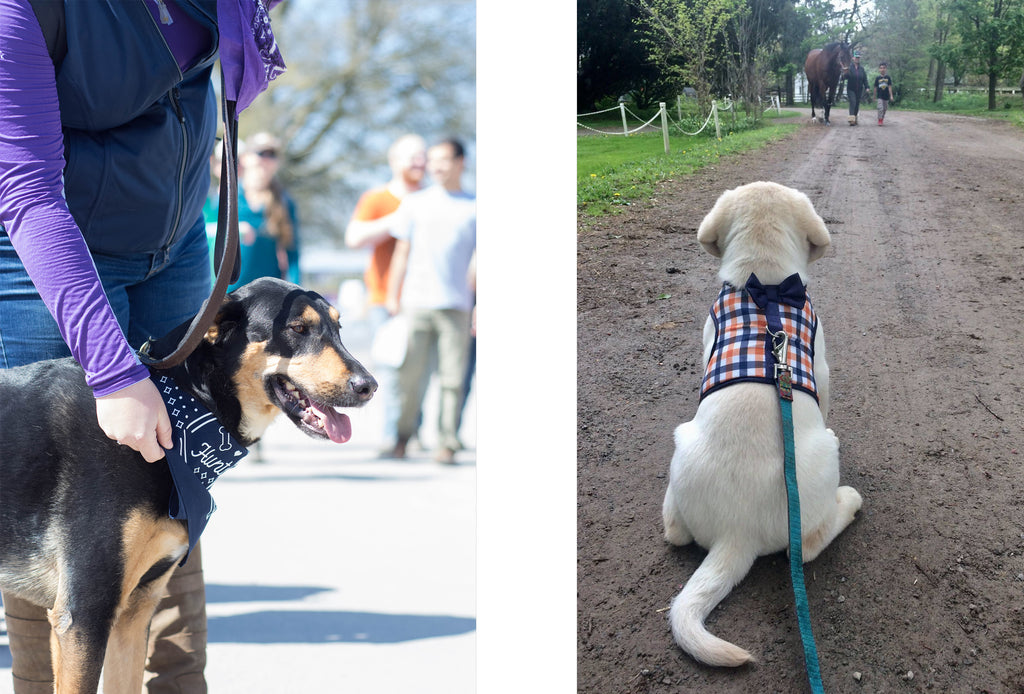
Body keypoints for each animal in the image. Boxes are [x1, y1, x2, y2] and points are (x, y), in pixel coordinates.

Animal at [0, 278, 376, 694]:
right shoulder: (84, 614)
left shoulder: (135, 611)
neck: (176, 412)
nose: (369, 386)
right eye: (298, 328)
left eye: (339, 328)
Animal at [663, 183, 864, 667]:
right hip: (823, 459)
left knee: (675, 533)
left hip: (682, 442)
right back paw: (849, 501)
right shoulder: (823, 369)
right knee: (806, 547)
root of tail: (736, 533)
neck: (768, 287)